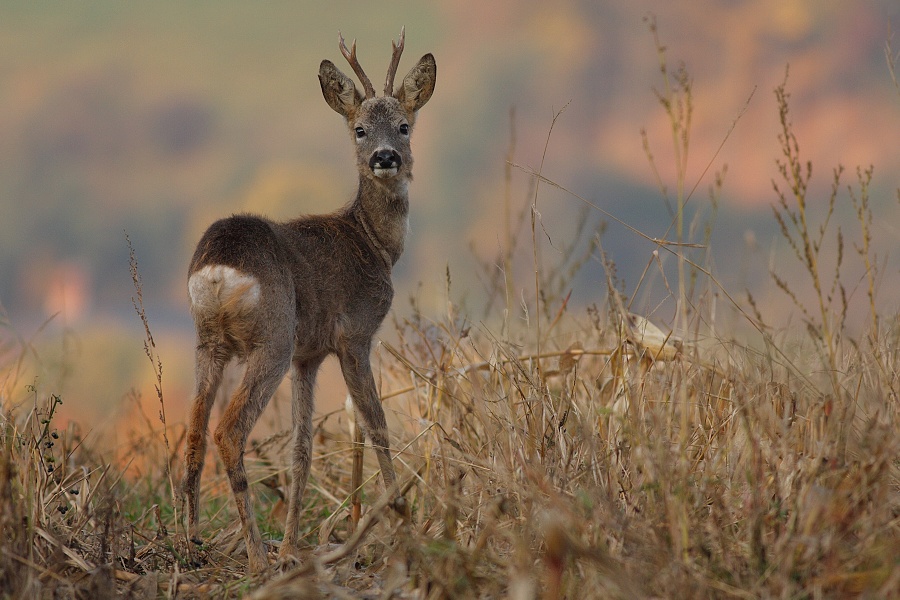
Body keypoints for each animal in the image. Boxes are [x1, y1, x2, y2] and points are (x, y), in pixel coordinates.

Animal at [181, 28, 436, 572]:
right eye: (359, 130)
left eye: (404, 126)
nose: (386, 157)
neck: (374, 243)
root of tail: (217, 269)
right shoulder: (354, 333)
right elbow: (377, 425)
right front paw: (401, 520)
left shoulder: (308, 354)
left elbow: (301, 450)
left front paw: (294, 546)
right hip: (272, 338)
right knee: (228, 431)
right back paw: (255, 554)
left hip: (209, 342)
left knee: (193, 429)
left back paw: (192, 540)